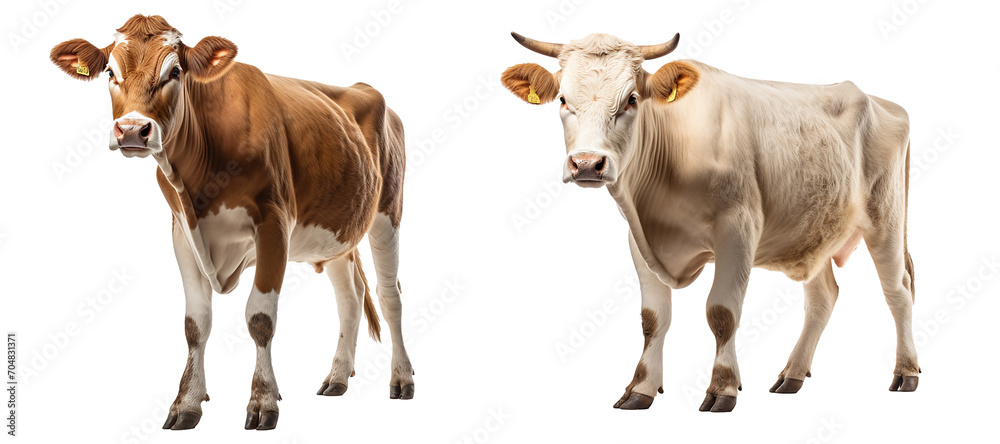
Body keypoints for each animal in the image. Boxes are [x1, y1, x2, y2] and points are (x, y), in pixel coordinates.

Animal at [49, 15, 415, 430]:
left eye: (175, 71)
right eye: (110, 72)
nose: (131, 130)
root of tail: (363, 87)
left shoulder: (274, 223)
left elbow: (260, 318)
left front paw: (263, 401)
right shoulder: (181, 233)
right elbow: (195, 323)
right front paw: (187, 403)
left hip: (388, 212)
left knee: (390, 296)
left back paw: (401, 378)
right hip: (337, 229)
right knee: (349, 298)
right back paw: (337, 378)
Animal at [501, 33, 918, 412]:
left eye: (632, 99)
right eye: (562, 99)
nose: (587, 164)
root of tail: (885, 102)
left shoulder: (738, 230)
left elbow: (722, 313)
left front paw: (723, 388)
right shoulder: (639, 242)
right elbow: (653, 319)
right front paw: (640, 389)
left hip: (886, 219)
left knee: (898, 290)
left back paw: (906, 372)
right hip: (815, 228)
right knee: (823, 297)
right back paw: (792, 375)